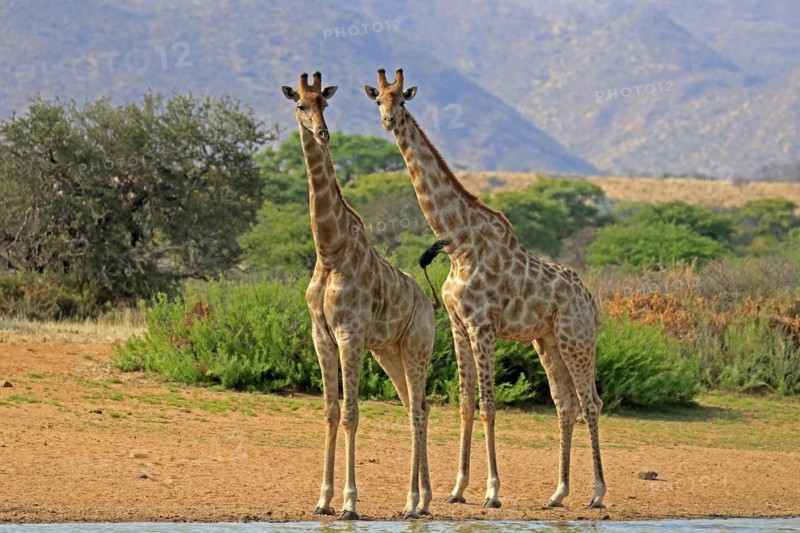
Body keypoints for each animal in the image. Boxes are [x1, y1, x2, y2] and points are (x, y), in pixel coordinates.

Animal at [281, 72, 436, 520]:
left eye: (325, 103)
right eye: (301, 104)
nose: (322, 132)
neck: (329, 250)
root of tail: (429, 302)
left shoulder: (349, 334)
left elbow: (351, 413)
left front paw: (349, 502)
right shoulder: (322, 336)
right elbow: (331, 411)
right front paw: (322, 499)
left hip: (417, 347)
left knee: (418, 409)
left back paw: (412, 503)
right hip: (389, 352)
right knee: (417, 406)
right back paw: (423, 499)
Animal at [365, 68, 606, 510]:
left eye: (402, 100)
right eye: (378, 100)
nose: (389, 121)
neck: (459, 243)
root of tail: (591, 300)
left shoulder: (483, 325)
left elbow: (490, 406)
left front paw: (492, 492)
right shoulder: (459, 326)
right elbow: (465, 403)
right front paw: (457, 488)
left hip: (577, 338)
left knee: (591, 402)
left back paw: (597, 493)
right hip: (547, 342)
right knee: (566, 405)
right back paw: (558, 493)